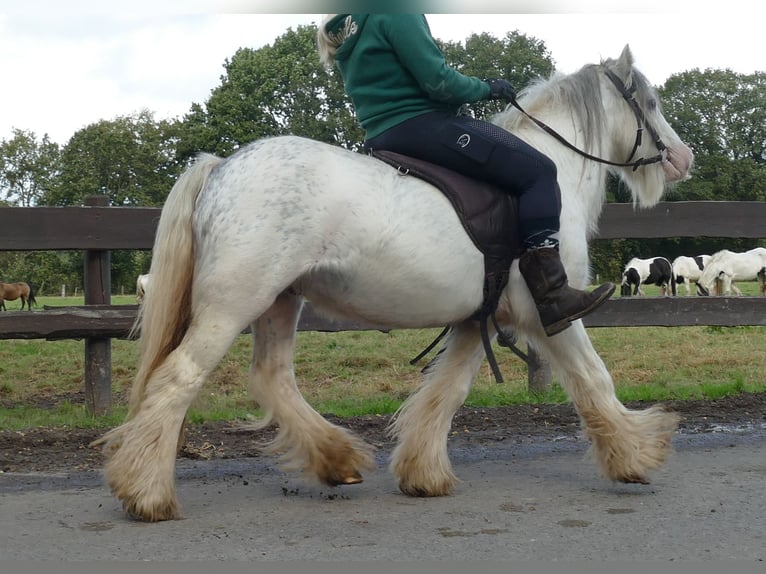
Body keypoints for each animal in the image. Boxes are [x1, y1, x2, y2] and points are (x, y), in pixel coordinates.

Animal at [94, 45, 696, 520]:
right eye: (650, 103)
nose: (682, 158)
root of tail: (221, 167)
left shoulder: (477, 320)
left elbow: (445, 393)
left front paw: (422, 474)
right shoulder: (551, 315)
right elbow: (594, 379)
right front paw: (638, 455)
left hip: (280, 301)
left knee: (271, 377)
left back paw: (336, 460)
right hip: (233, 304)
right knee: (178, 379)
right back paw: (147, 495)